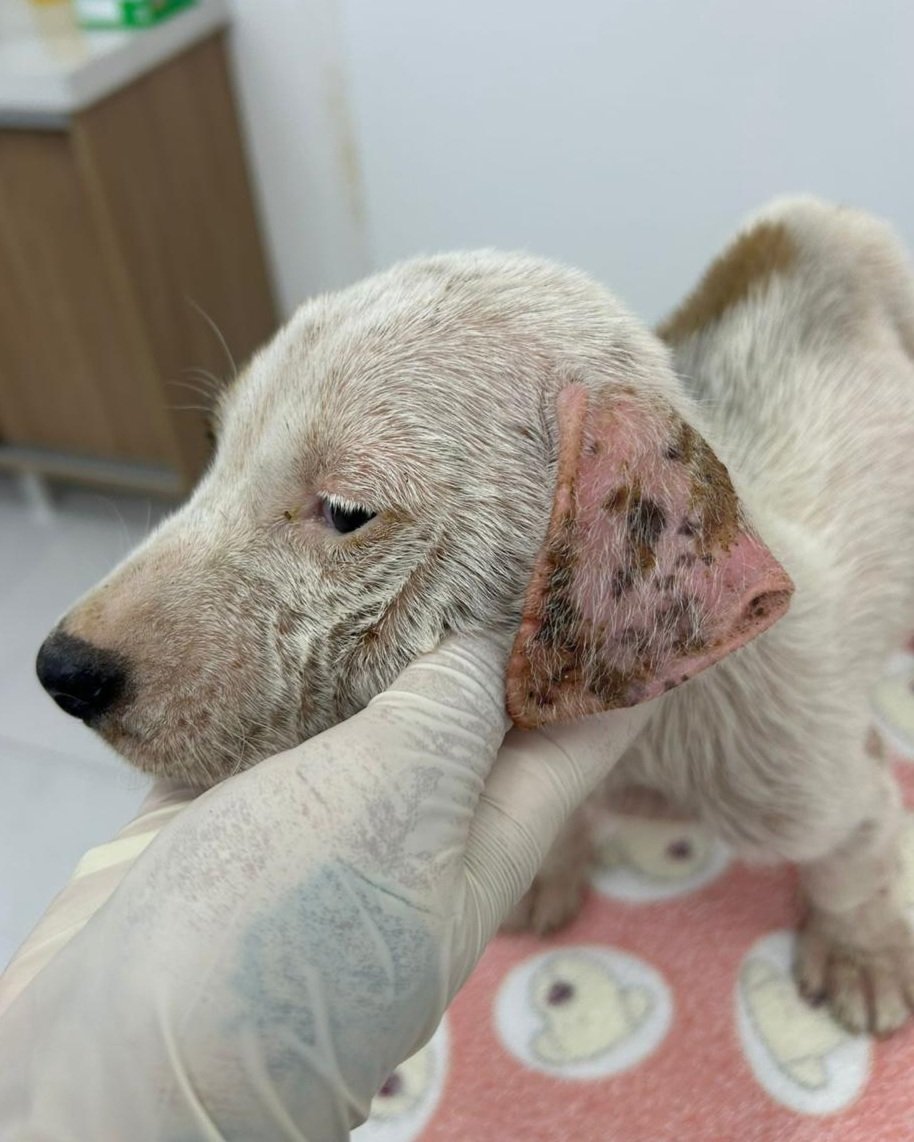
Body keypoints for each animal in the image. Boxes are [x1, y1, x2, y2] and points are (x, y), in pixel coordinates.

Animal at [36, 196, 914, 1035]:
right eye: (216, 447)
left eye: (348, 509)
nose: (61, 670)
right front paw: (548, 872)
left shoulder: (819, 781)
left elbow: (856, 855)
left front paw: (861, 954)